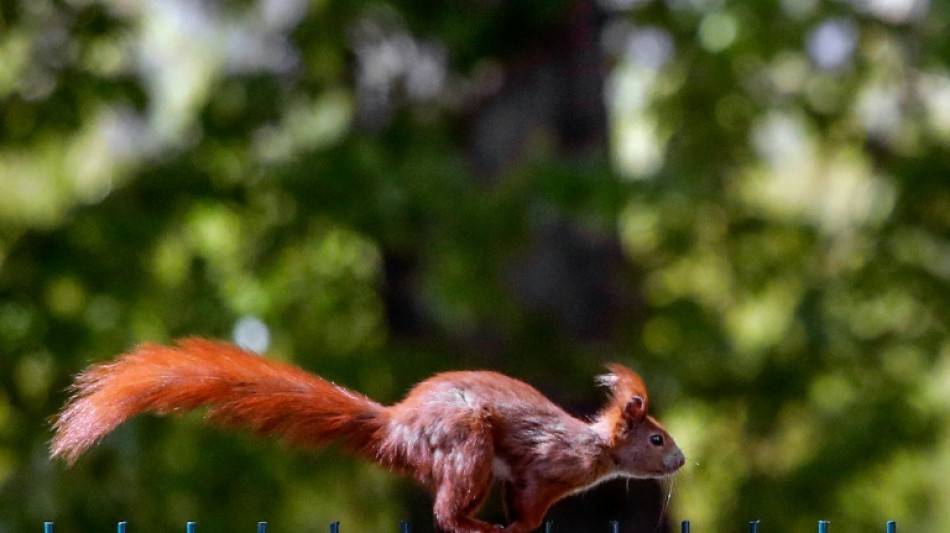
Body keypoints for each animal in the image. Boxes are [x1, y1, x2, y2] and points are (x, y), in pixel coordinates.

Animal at [50, 336, 684, 532]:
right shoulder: (542, 466)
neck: (595, 451)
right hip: (468, 444)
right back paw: (478, 527)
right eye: (656, 440)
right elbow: (527, 503)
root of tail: (396, 427)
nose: (681, 460)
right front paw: (521, 528)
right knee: (446, 513)